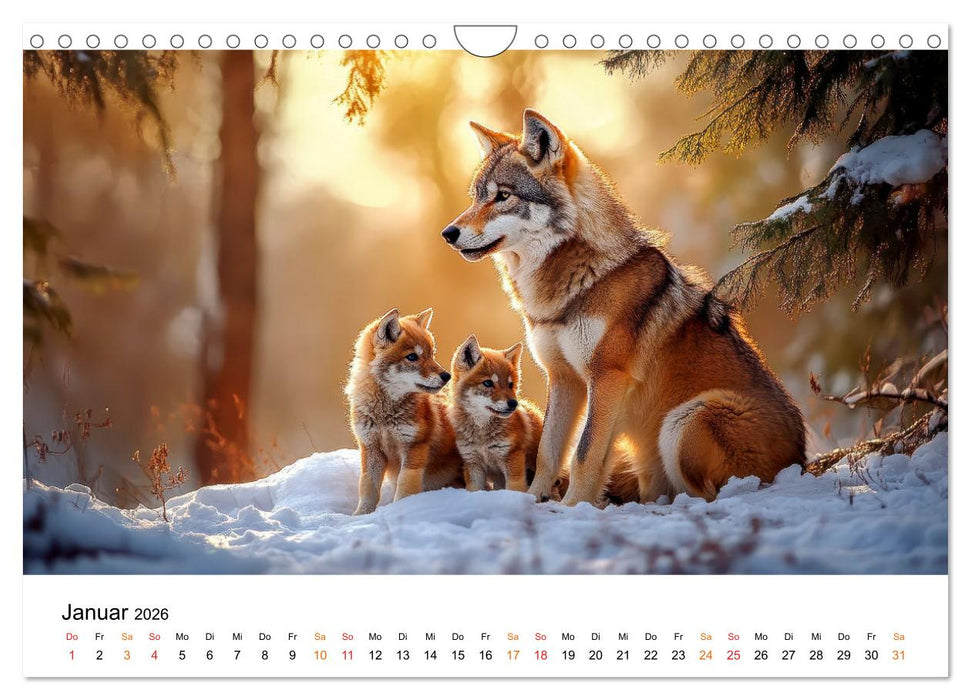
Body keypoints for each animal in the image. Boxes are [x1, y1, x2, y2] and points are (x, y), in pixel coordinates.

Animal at [346, 308, 464, 515]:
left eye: (431, 354)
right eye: (412, 357)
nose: (446, 376)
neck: (384, 415)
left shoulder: (414, 448)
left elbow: (405, 486)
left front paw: (399, 510)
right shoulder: (371, 449)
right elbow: (368, 489)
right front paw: (361, 515)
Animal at [448, 335, 544, 492]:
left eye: (510, 385)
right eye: (488, 383)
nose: (513, 403)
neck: (482, 436)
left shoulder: (513, 462)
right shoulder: (473, 464)